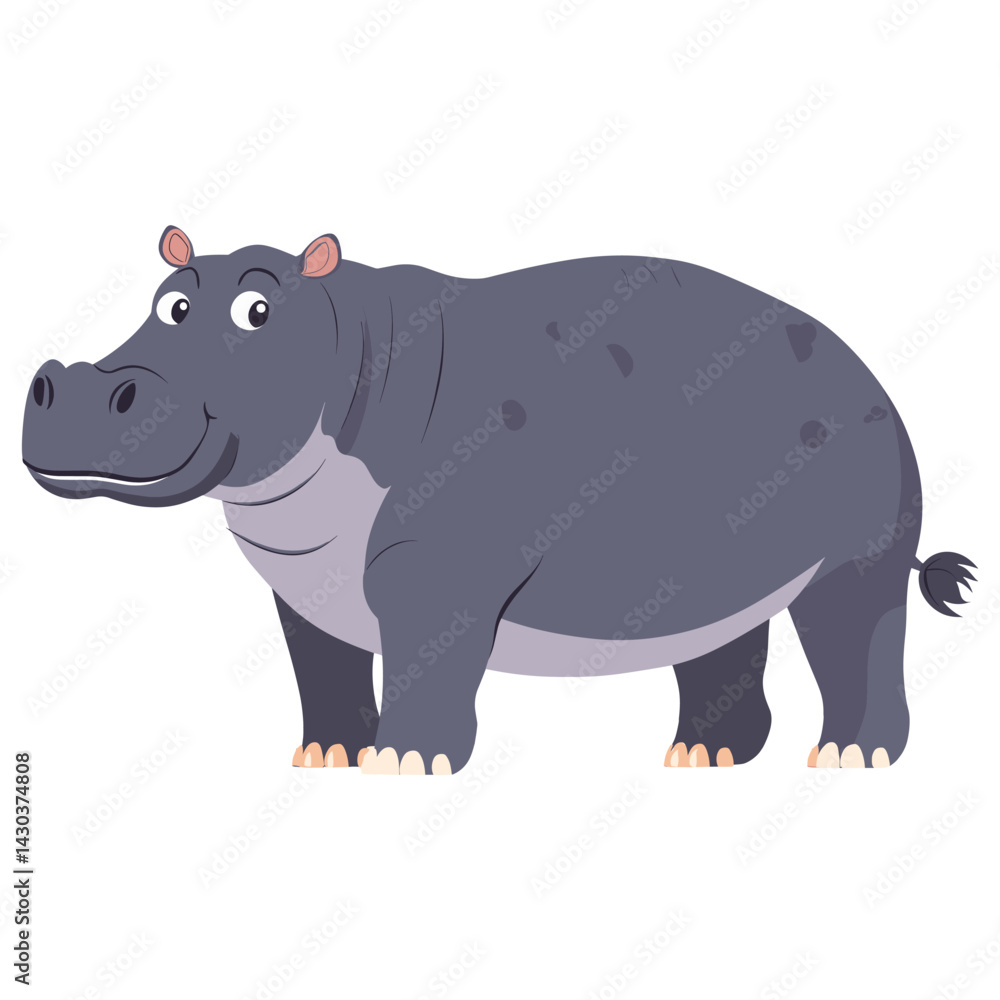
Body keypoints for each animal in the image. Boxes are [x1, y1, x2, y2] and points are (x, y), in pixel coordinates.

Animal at [22, 226, 976, 774]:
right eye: (168, 303)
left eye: (258, 310)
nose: (73, 383)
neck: (351, 351)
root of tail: (874, 375)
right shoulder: (305, 588)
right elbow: (322, 667)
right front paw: (324, 759)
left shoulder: (435, 575)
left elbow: (426, 670)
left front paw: (403, 768)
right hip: (717, 571)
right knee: (725, 646)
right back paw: (699, 758)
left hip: (859, 556)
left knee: (859, 638)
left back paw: (849, 759)